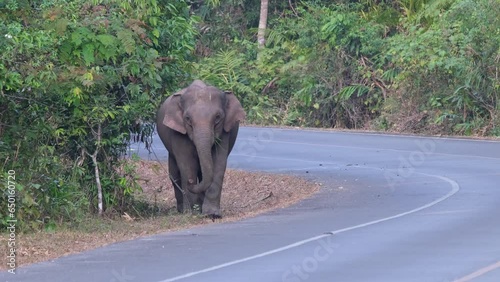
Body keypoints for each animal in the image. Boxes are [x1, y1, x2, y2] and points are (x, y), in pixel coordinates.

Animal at [154, 80, 244, 217]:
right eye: (187, 118)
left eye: (218, 117)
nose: (190, 181)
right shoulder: (178, 132)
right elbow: (187, 165)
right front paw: (192, 212)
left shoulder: (224, 132)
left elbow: (219, 163)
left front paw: (212, 214)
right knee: (175, 174)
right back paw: (182, 209)